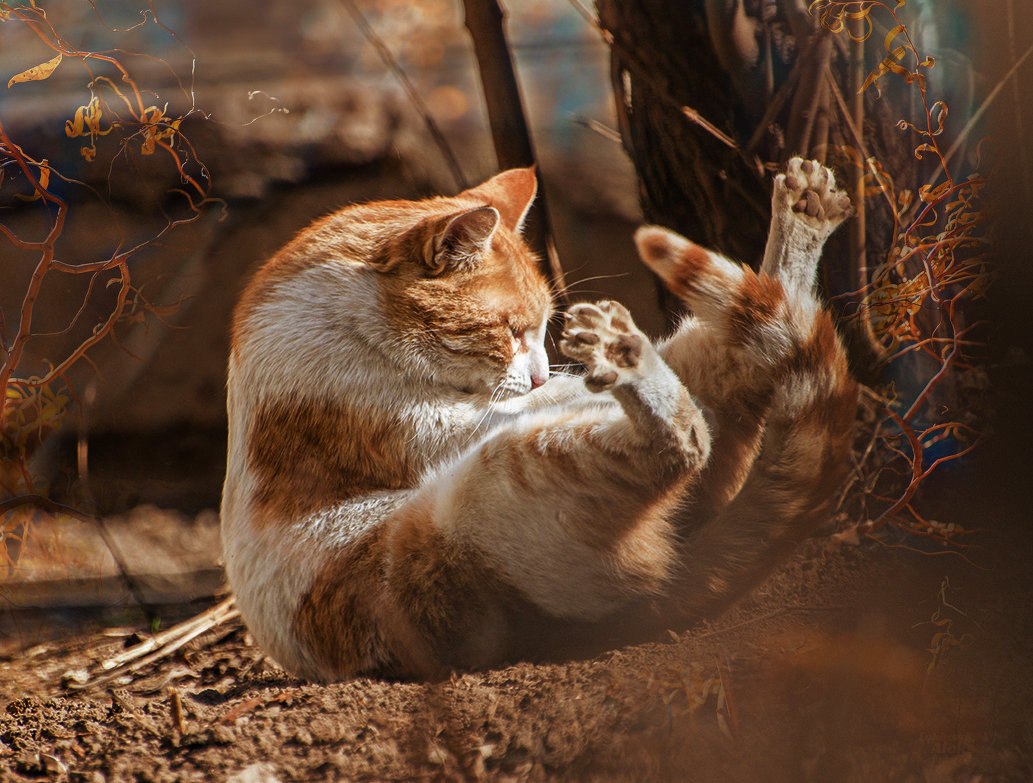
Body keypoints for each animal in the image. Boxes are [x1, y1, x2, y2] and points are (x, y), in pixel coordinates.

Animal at [220, 159, 855, 681]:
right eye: (510, 331)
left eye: (545, 326)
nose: (543, 375)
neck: (347, 312)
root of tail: (660, 591)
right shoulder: (442, 426)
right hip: (495, 478)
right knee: (685, 437)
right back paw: (629, 366)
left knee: (732, 360)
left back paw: (801, 222)